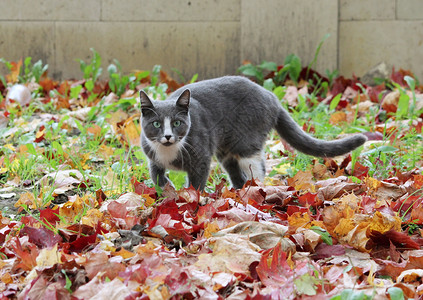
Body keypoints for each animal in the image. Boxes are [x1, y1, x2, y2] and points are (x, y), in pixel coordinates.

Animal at [140, 77, 368, 190]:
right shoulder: (152, 156)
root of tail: (272, 97)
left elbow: (196, 184)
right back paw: (236, 191)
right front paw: (165, 187)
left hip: (247, 141)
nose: (168, 136)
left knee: (257, 169)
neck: (169, 151)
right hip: (226, 150)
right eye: (156, 124)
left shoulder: (201, 158)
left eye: (177, 123)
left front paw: (190, 199)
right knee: (234, 170)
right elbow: (155, 174)